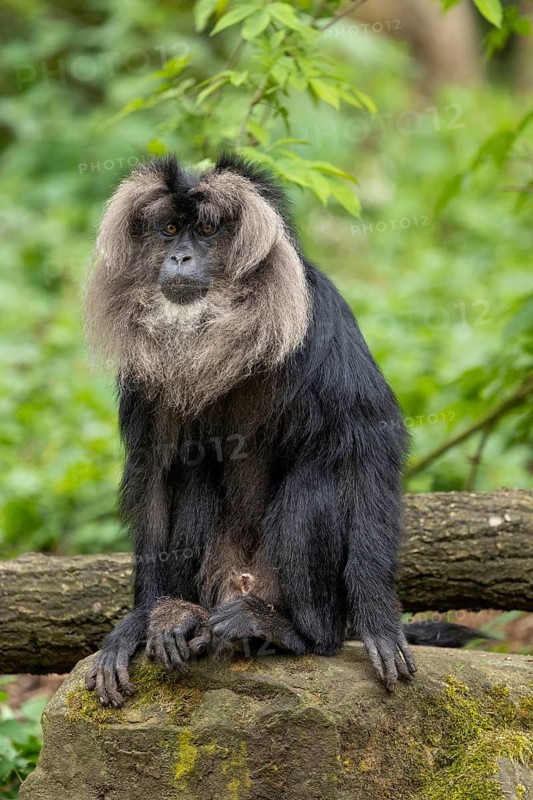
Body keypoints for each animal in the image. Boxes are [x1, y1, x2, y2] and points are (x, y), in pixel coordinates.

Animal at [84, 154, 485, 708]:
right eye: (168, 230)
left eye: (205, 231)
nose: (180, 258)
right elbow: (157, 472)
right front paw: (138, 621)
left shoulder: (318, 317)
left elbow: (367, 441)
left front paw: (379, 619)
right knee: (190, 477)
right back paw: (180, 615)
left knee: (317, 482)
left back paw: (290, 632)